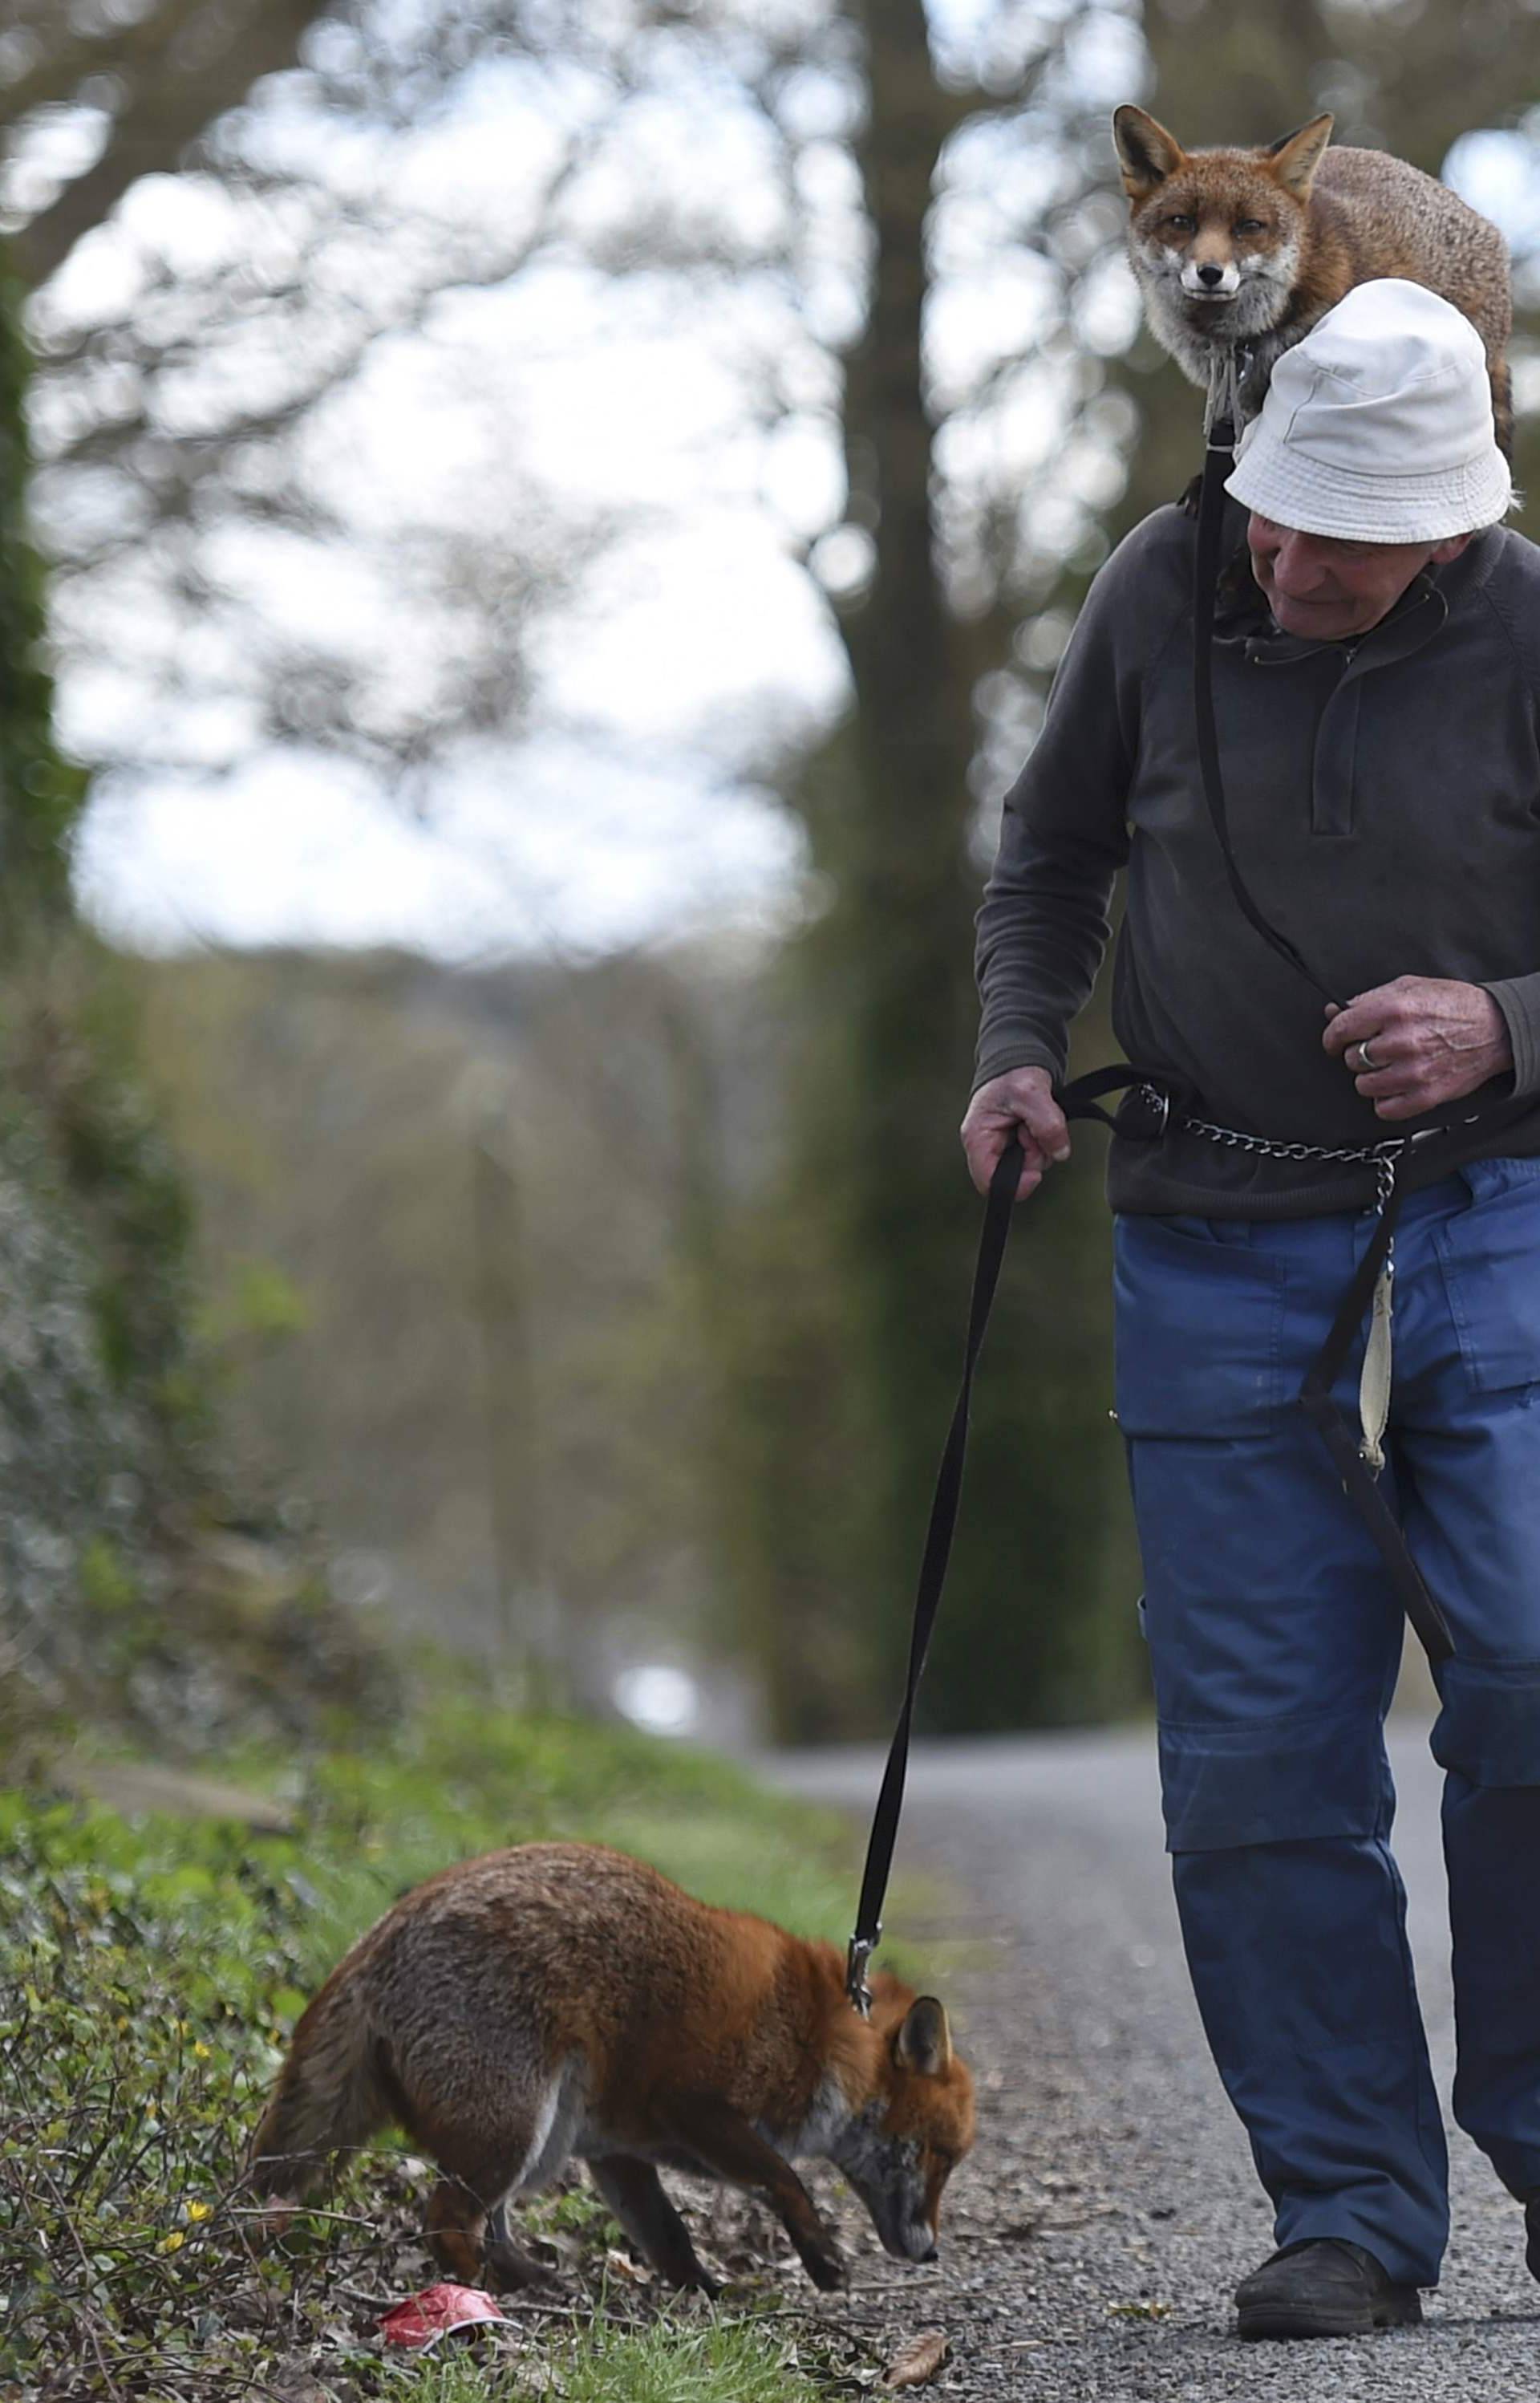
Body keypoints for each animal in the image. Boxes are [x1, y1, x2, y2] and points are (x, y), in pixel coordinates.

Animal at [251, 1845, 971, 2297]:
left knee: (489, 2224)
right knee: (445, 2216)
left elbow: (669, 2235)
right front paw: (821, 2258)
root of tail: (380, 1933)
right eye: (940, 2155)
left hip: (543, 2142)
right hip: (515, 2128)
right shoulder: (696, 2102)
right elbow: (784, 2179)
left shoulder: (619, 2151)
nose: (933, 2251)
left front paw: (707, 2297)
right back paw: (483, 2294)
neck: (827, 2037)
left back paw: (527, 2279)